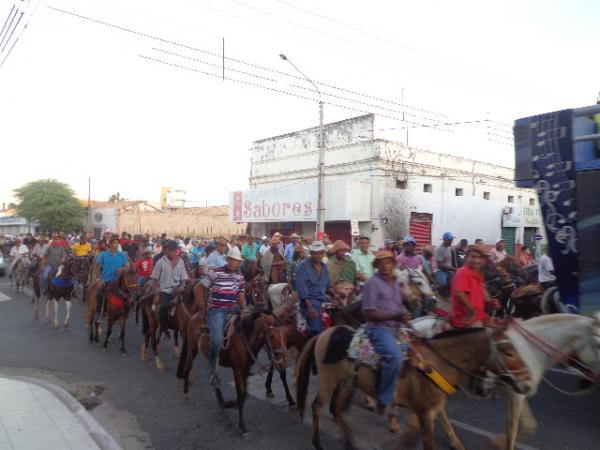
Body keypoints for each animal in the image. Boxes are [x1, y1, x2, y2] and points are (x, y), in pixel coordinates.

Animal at [296, 326, 528, 450]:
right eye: (508, 351)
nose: (526, 382)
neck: (436, 362)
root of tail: (324, 334)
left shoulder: (435, 406)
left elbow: (448, 426)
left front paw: (457, 444)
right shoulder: (424, 412)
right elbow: (428, 443)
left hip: (346, 382)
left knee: (339, 409)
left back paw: (349, 442)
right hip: (328, 381)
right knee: (317, 406)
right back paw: (317, 442)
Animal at [488, 312, 600, 450]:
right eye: (598, 344)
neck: (529, 351)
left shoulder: (520, 390)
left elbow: (528, 426)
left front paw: (498, 442)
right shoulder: (515, 392)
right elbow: (512, 428)